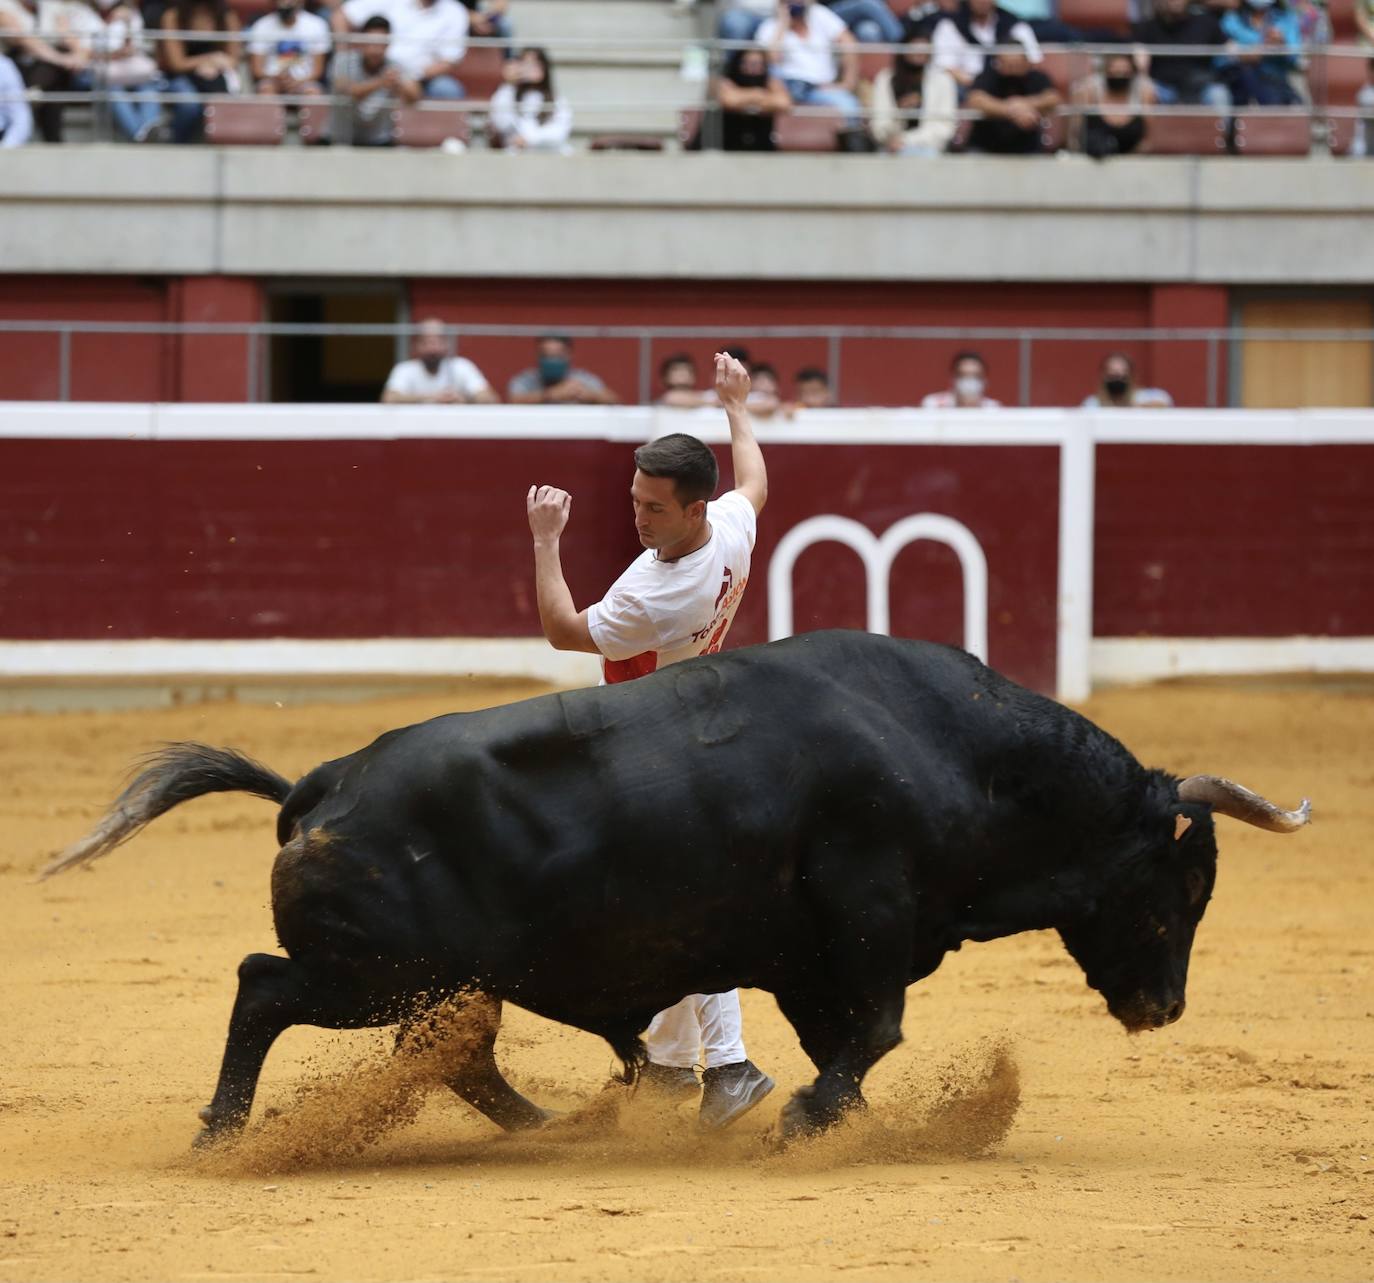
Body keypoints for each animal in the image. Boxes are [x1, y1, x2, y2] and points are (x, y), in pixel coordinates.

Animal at [40, 631, 1308, 1142]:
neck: (951, 745)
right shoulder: (868, 911)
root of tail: (319, 784)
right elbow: (878, 1028)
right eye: (1183, 886)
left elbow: (850, 1037)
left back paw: (560, 1125)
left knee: (450, 1053)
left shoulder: (806, 951)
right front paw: (806, 1115)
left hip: (444, 978)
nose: (1164, 1007)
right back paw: (221, 1131)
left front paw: (821, 1114)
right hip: (376, 969)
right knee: (266, 987)